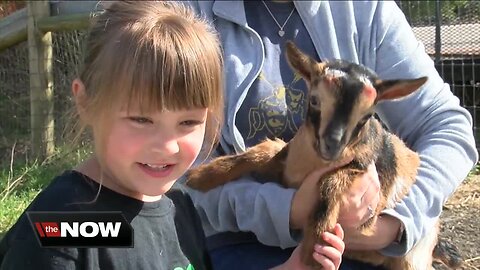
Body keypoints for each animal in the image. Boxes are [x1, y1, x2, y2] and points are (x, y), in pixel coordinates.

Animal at [185, 41, 462, 270]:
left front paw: (314, 247)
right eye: (315, 100)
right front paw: (202, 175)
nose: (332, 146)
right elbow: (263, 151)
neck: (309, 163)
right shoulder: (284, 165)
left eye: (366, 116)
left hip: (413, 257)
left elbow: (329, 182)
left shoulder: (361, 172)